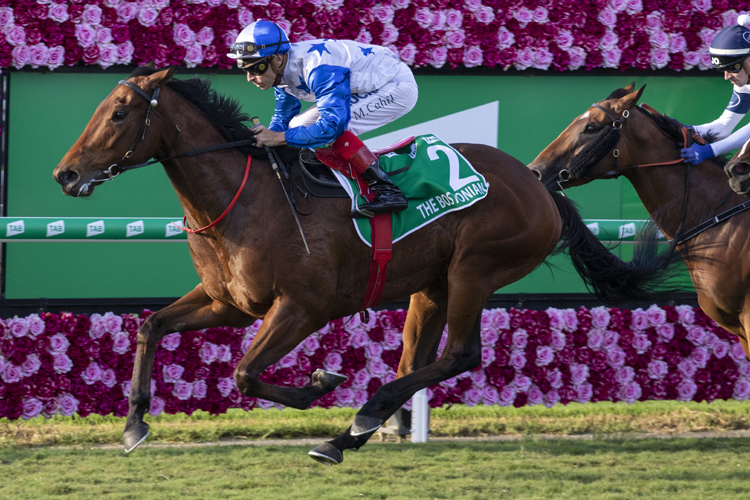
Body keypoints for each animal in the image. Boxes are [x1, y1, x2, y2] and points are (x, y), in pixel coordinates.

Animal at [53, 67, 676, 464]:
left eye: (119, 112)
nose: (65, 173)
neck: (246, 198)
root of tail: (539, 182)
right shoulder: (229, 302)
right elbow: (150, 325)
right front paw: (134, 425)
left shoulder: (303, 307)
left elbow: (246, 372)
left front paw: (319, 383)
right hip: (432, 285)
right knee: (418, 357)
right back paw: (364, 427)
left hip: (474, 269)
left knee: (458, 354)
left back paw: (353, 424)